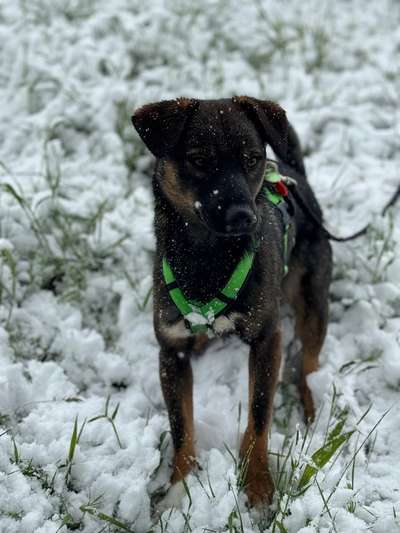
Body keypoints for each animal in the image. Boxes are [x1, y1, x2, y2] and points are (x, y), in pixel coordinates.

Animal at [130, 95, 332, 508]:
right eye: (199, 159)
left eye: (252, 158)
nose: (243, 216)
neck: (206, 258)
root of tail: (295, 174)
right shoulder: (171, 350)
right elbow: (181, 426)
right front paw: (178, 491)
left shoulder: (268, 338)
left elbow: (258, 415)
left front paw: (257, 485)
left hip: (312, 299)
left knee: (308, 363)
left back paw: (312, 409)